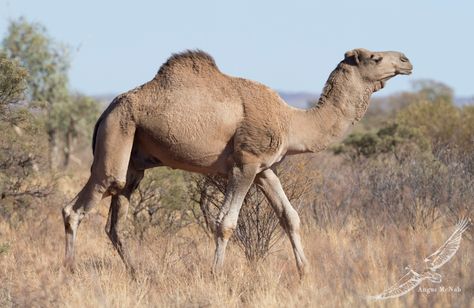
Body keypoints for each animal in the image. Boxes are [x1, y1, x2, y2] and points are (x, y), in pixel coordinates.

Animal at [62, 47, 412, 276]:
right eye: (375, 57)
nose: (406, 60)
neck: (291, 122)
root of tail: (106, 110)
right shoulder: (245, 164)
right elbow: (225, 222)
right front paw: (216, 273)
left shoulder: (264, 169)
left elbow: (290, 216)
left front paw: (305, 271)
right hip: (118, 132)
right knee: (78, 206)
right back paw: (70, 270)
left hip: (134, 159)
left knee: (114, 219)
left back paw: (136, 271)